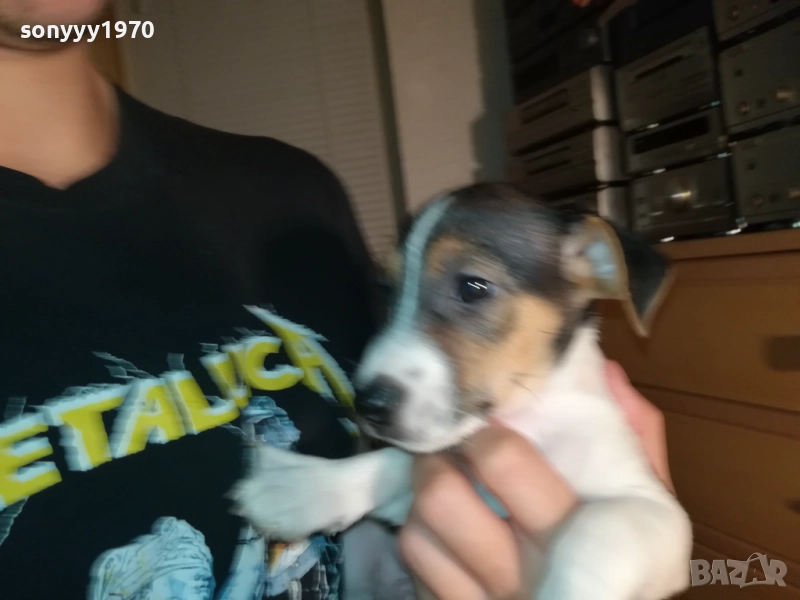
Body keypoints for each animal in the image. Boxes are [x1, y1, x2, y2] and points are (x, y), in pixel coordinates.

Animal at [230, 183, 693, 599]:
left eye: (473, 286)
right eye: (387, 290)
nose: (368, 406)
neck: (529, 419)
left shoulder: (655, 509)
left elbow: (599, 532)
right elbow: (397, 463)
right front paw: (303, 487)